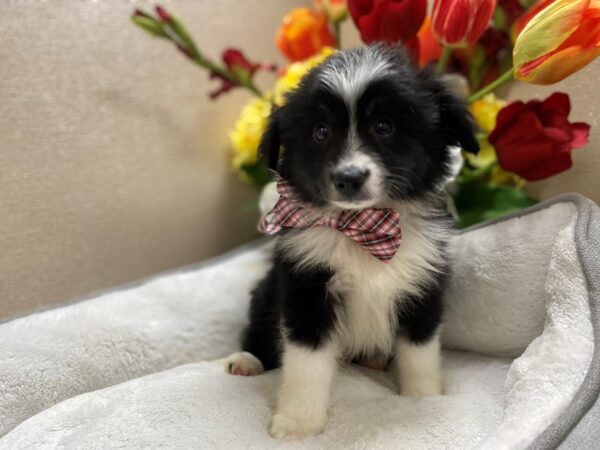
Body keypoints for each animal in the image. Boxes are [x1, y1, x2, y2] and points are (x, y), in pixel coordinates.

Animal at [217, 44, 478, 440]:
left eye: (384, 126)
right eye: (321, 131)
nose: (349, 177)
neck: (361, 229)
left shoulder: (423, 285)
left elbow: (419, 351)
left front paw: (423, 396)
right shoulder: (306, 287)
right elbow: (306, 362)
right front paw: (298, 425)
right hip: (266, 293)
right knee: (259, 333)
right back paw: (245, 361)